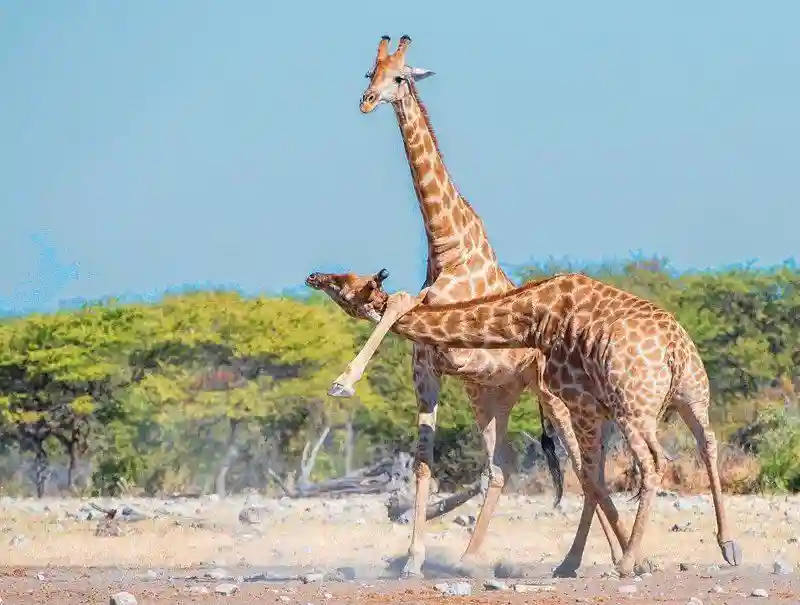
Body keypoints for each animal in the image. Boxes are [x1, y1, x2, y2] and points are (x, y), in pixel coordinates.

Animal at [304, 268, 744, 576]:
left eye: (343, 282)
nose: (314, 276)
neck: (530, 316)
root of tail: (674, 350)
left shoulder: (578, 400)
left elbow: (590, 477)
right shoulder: (591, 408)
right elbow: (591, 477)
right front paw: (570, 563)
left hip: (632, 407)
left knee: (654, 464)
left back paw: (626, 563)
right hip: (692, 397)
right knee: (707, 445)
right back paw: (728, 546)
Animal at [340, 35, 624, 580]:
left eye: (400, 76)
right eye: (370, 71)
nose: (365, 101)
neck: (446, 244)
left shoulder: (452, 339)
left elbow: (399, 301)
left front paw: (343, 382)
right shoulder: (429, 370)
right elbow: (423, 463)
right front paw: (413, 559)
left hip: (554, 398)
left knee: (584, 467)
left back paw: (601, 558)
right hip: (491, 396)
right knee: (503, 466)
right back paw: (480, 557)